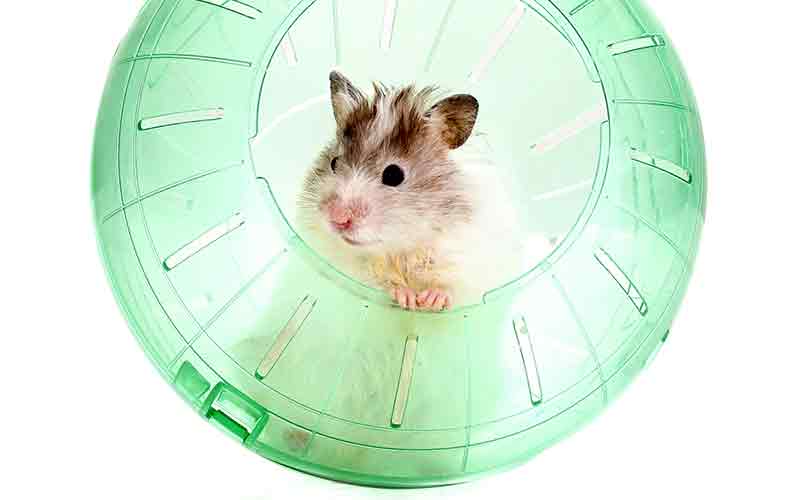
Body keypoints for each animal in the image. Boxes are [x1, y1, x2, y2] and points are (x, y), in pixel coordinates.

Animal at [297, 71, 527, 311]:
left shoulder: (469, 262)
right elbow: (379, 281)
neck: (404, 244)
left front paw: (429, 301)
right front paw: (408, 299)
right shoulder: (347, 266)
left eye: (393, 175)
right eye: (334, 163)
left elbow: (450, 286)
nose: (337, 219)